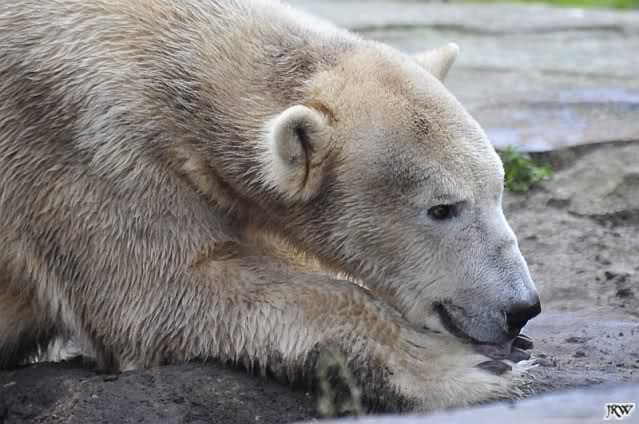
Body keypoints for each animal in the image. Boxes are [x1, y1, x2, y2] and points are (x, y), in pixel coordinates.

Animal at [0, 0, 541, 413]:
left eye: (498, 189)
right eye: (443, 208)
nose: (521, 308)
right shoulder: (89, 141)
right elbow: (159, 295)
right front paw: (474, 367)